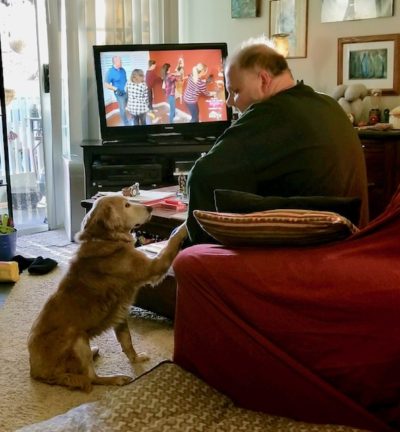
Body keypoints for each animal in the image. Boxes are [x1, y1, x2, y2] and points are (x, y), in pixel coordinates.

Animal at [28, 195, 188, 392]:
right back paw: (115, 378)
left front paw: (136, 359)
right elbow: (172, 241)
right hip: (79, 339)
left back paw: (95, 352)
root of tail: (35, 371)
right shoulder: (153, 267)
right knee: (91, 378)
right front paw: (185, 225)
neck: (104, 239)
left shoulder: (120, 313)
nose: (150, 209)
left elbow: (127, 342)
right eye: (127, 205)